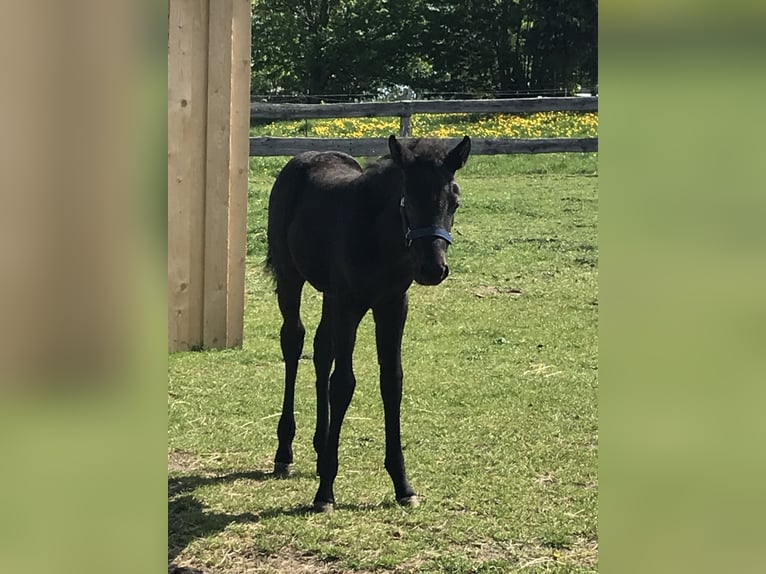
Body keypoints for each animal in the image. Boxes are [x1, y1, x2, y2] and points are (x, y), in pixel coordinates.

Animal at [265, 134, 471, 512]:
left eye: (454, 201)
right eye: (407, 198)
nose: (432, 269)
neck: (380, 240)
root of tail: (302, 158)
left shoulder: (392, 305)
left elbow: (392, 381)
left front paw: (403, 484)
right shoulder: (350, 305)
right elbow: (343, 384)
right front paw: (325, 492)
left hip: (330, 295)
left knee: (322, 350)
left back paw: (320, 449)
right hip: (291, 278)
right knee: (294, 341)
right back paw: (285, 453)